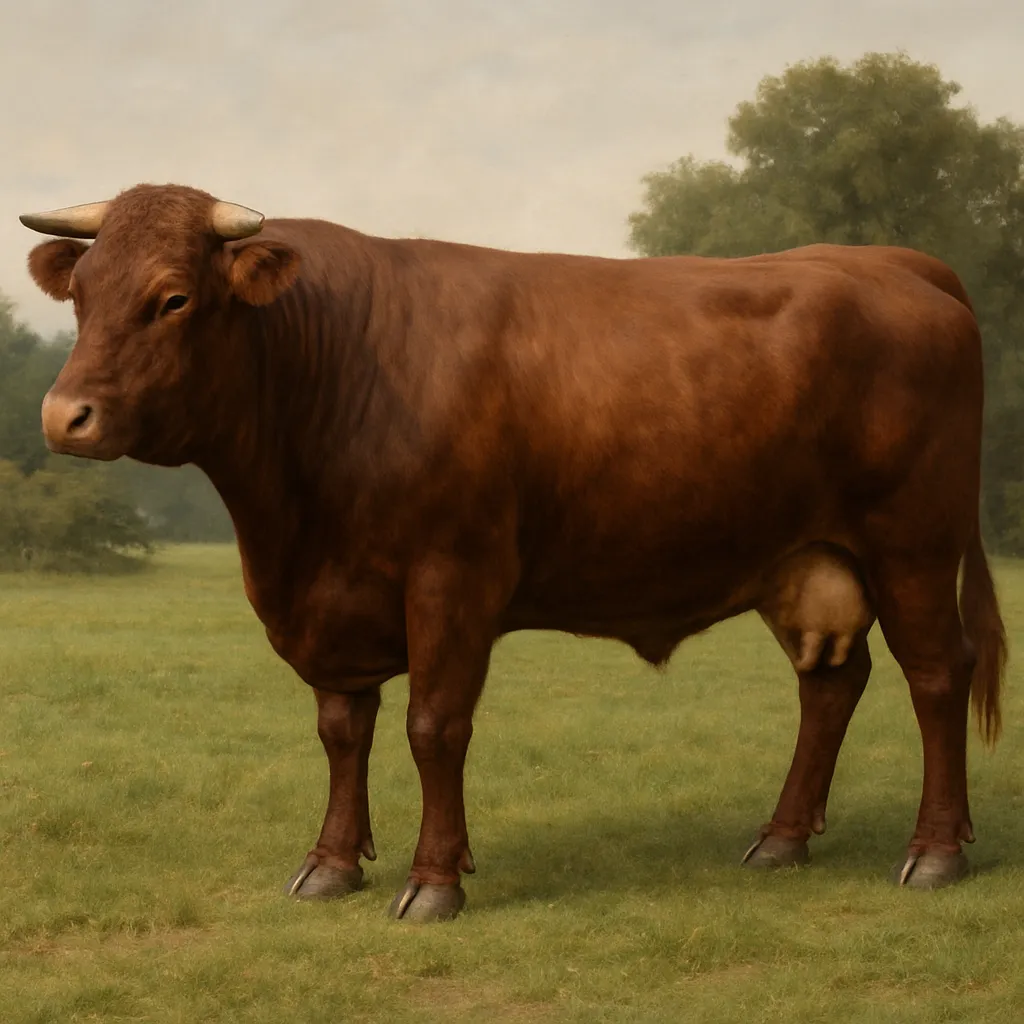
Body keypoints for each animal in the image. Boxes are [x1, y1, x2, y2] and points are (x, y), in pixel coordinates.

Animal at [21, 183, 1006, 922]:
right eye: (81, 293)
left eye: (173, 297)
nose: (64, 416)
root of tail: (893, 262)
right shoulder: (330, 603)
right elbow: (342, 731)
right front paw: (332, 864)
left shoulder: (453, 576)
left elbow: (432, 727)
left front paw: (433, 882)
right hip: (806, 558)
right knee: (831, 683)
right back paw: (781, 840)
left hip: (914, 544)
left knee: (936, 675)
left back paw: (934, 853)